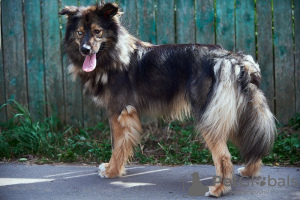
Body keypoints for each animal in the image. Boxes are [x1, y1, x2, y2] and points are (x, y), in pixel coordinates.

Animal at [59, 2, 276, 197]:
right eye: (80, 33)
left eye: (97, 31)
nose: (85, 50)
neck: (115, 54)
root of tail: (232, 59)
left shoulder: (120, 111)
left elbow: (118, 145)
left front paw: (112, 171)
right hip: (241, 113)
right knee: (254, 146)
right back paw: (248, 171)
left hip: (209, 116)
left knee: (223, 156)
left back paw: (218, 189)